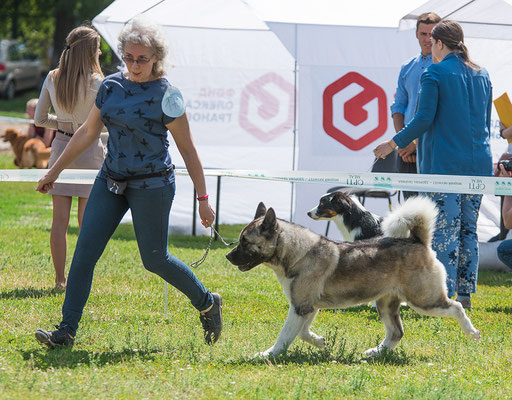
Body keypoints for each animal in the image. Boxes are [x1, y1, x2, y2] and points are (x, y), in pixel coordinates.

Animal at [225, 198, 480, 358]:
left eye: (245, 241)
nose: (227, 256)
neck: (297, 253)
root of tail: (418, 241)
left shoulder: (300, 307)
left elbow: (285, 336)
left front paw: (267, 355)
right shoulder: (308, 307)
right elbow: (304, 333)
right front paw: (320, 341)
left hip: (423, 301)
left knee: (457, 307)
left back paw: (472, 332)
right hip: (385, 304)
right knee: (396, 333)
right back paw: (375, 353)